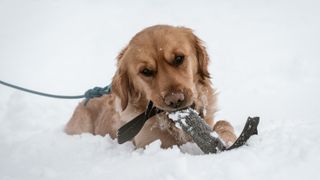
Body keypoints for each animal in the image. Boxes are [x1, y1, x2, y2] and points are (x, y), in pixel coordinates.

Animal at [65, 25, 236, 149]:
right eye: (146, 71)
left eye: (179, 58)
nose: (175, 100)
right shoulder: (147, 143)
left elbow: (223, 123)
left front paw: (227, 138)